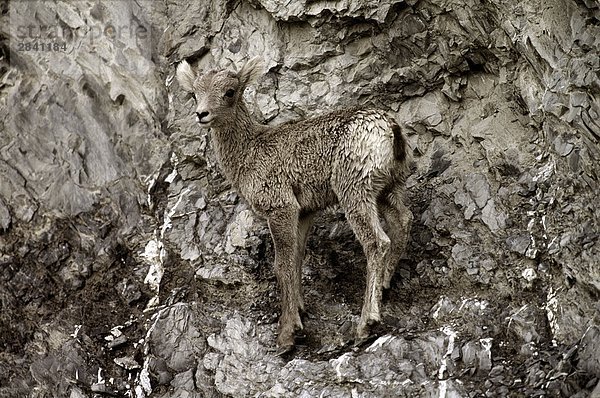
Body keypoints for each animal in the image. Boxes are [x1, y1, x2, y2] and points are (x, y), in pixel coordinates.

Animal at [176, 56, 414, 352]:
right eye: (194, 93)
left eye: (230, 91)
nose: (202, 114)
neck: (249, 153)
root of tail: (391, 130)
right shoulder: (304, 211)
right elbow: (298, 257)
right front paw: (299, 310)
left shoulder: (280, 205)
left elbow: (283, 264)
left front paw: (287, 334)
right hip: (388, 188)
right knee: (403, 220)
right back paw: (384, 284)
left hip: (354, 187)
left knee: (377, 241)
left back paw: (365, 324)